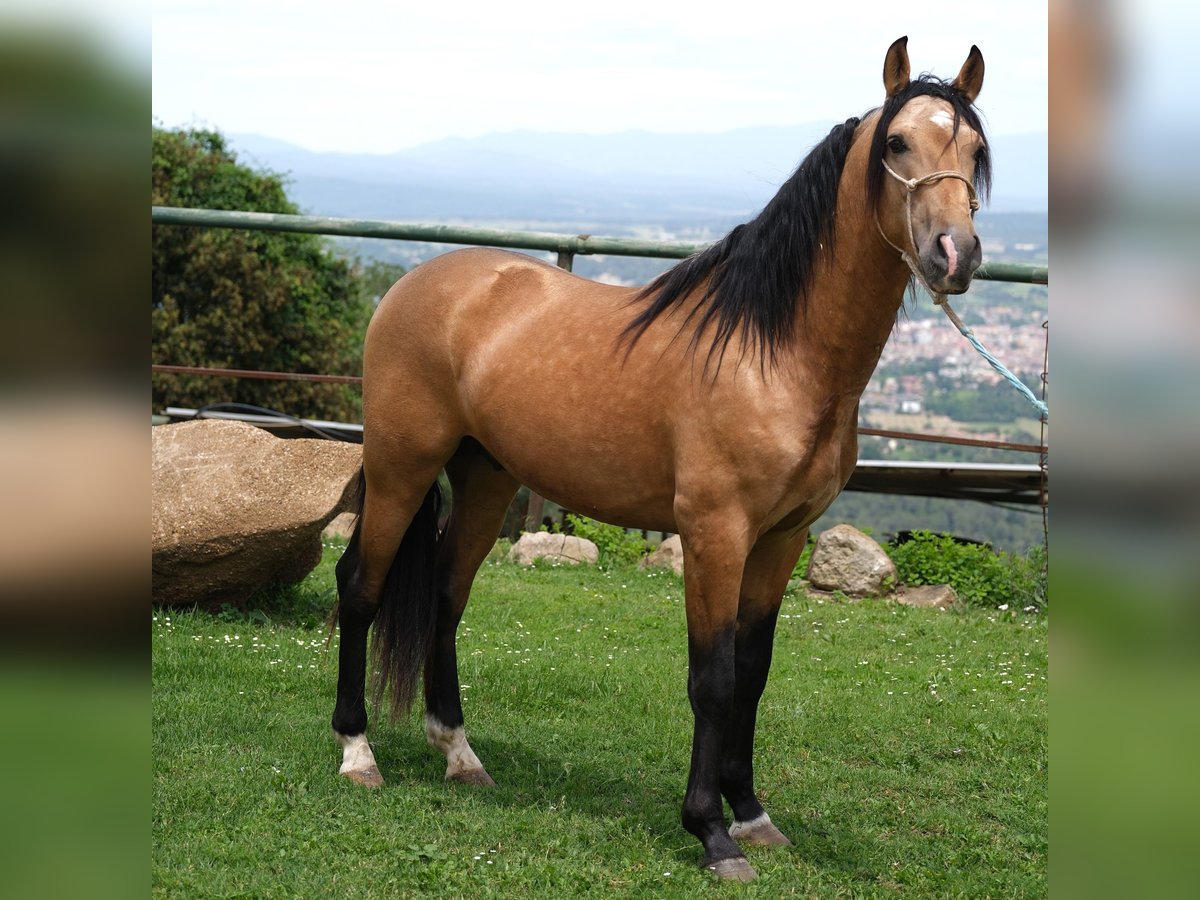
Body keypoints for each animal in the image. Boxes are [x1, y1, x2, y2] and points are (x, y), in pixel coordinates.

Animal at [328, 38, 984, 883]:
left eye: (976, 151)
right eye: (898, 143)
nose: (954, 254)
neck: (775, 353)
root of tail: (416, 281)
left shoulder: (782, 539)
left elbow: (754, 675)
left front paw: (753, 813)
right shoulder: (714, 534)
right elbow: (714, 679)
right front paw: (711, 832)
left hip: (484, 476)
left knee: (446, 594)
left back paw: (459, 753)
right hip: (402, 465)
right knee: (361, 587)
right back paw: (357, 752)